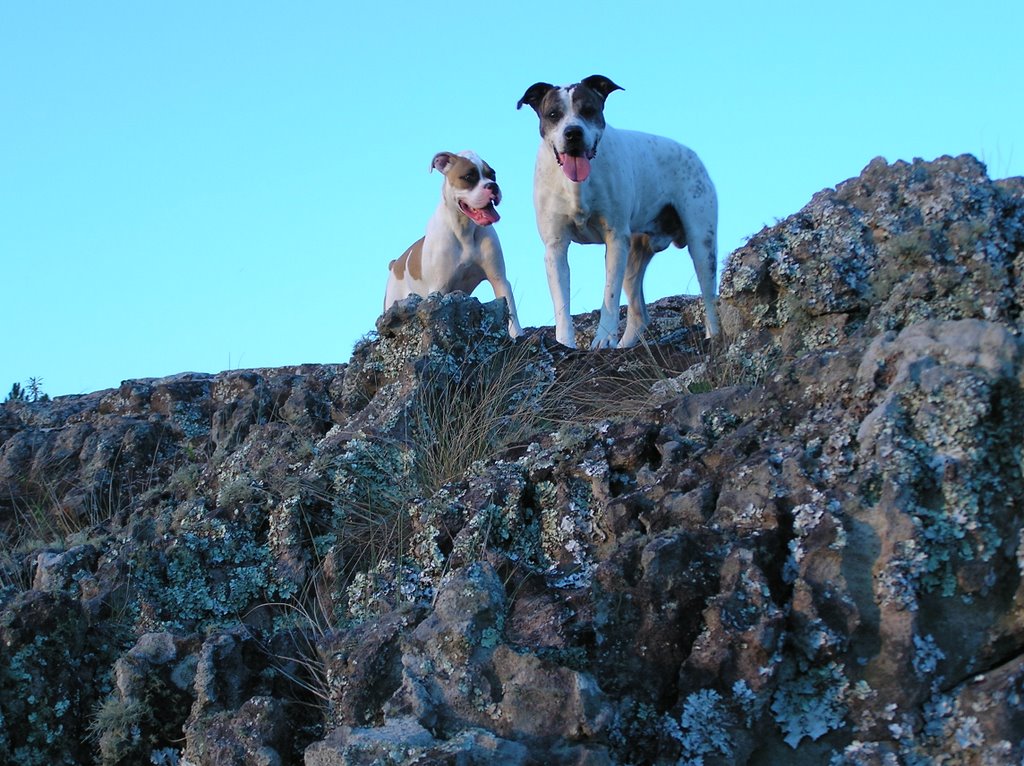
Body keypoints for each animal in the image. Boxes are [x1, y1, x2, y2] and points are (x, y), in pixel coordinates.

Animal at [385, 151, 524, 335]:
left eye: (492, 174)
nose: (493, 186)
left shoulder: (499, 279)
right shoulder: (439, 289)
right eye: (469, 176)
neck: (464, 230)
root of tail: (395, 264)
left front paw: (517, 334)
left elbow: (511, 310)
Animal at [520, 74, 720, 350]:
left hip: (701, 243)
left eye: (588, 110)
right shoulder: (555, 247)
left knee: (710, 301)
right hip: (634, 257)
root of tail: (694, 156)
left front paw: (603, 338)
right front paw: (565, 342)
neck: (577, 186)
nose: (573, 133)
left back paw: (716, 338)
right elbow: (562, 303)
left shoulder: (614, 239)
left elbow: (609, 295)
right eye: (553, 114)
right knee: (639, 314)